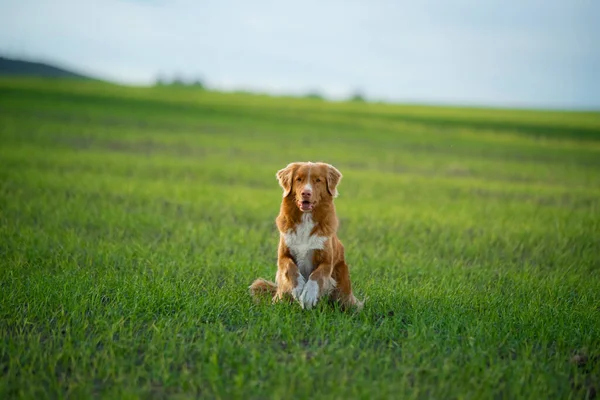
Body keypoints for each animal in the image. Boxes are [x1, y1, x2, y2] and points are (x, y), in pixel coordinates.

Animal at [248, 162, 360, 310]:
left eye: (318, 180)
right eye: (298, 179)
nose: (306, 193)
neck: (306, 219)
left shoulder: (327, 261)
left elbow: (317, 275)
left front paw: (308, 295)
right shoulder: (283, 255)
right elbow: (290, 268)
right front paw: (299, 288)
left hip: (343, 281)